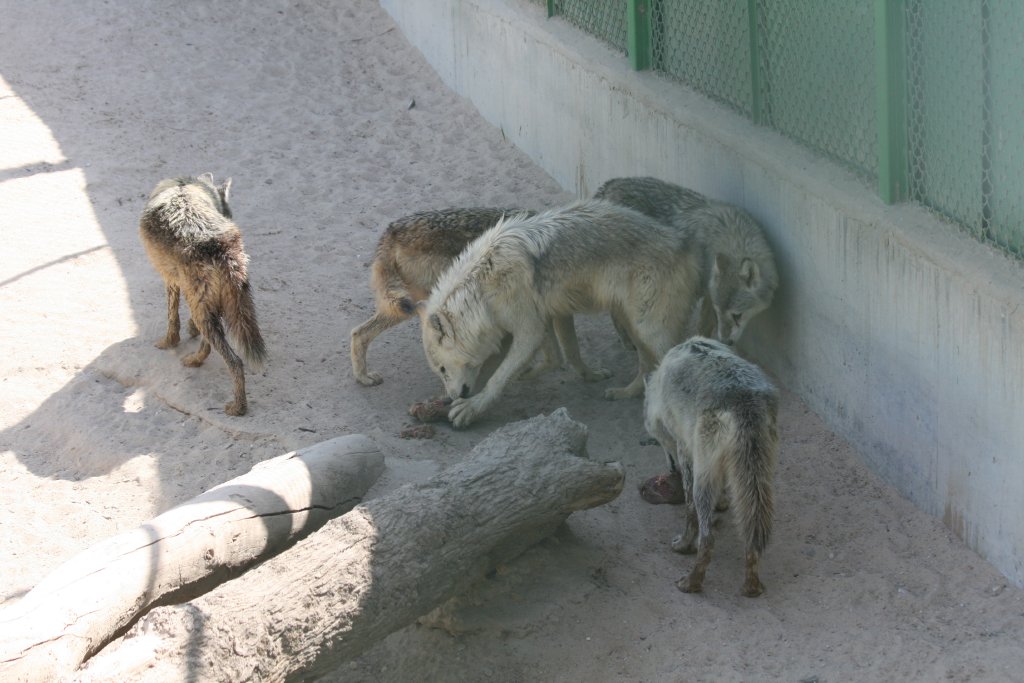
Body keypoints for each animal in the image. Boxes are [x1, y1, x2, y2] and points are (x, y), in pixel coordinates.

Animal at [139, 173, 266, 416]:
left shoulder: (170, 281)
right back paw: (196, 361)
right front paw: (189, 331)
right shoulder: (192, 293)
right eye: (228, 212)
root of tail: (221, 247)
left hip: (205, 312)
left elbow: (172, 319)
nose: (229, 217)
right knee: (210, 345)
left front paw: (167, 343)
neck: (183, 185)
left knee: (235, 362)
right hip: (214, 309)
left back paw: (238, 407)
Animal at [350, 207, 610, 386]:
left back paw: (363, 377)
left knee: (358, 333)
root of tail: (392, 230)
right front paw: (590, 375)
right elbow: (570, 352)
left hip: (406, 306)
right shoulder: (557, 311)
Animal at [418, 199, 702, 427]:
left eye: (442, 369)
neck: (481, 287)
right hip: (631, 323)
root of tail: (685, 245)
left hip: (649, 328)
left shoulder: (529, 329)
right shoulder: (552, 314)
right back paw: (625, 392)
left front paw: (472, 407)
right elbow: (562, 355)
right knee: (646, 366)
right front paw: (588, 375)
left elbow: (498, 378)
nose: (452, 397)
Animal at [594, 176, 778, 345]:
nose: (726, 342)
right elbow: (703, 326)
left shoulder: (708, 294)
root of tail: (607, 186)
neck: (732, 238)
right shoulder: (707, 294)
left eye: (737, 316)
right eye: (720, 312)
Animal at [643, 336, 778, 597]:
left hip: (703, 485)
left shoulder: (685, 450)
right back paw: (752, 586)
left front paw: (684, 543)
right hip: (759, 478)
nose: (670, 468)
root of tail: (743, 400)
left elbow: (689, 510)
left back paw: (692, 582)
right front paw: (723, 502)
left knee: (708, 538)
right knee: (751, 533)